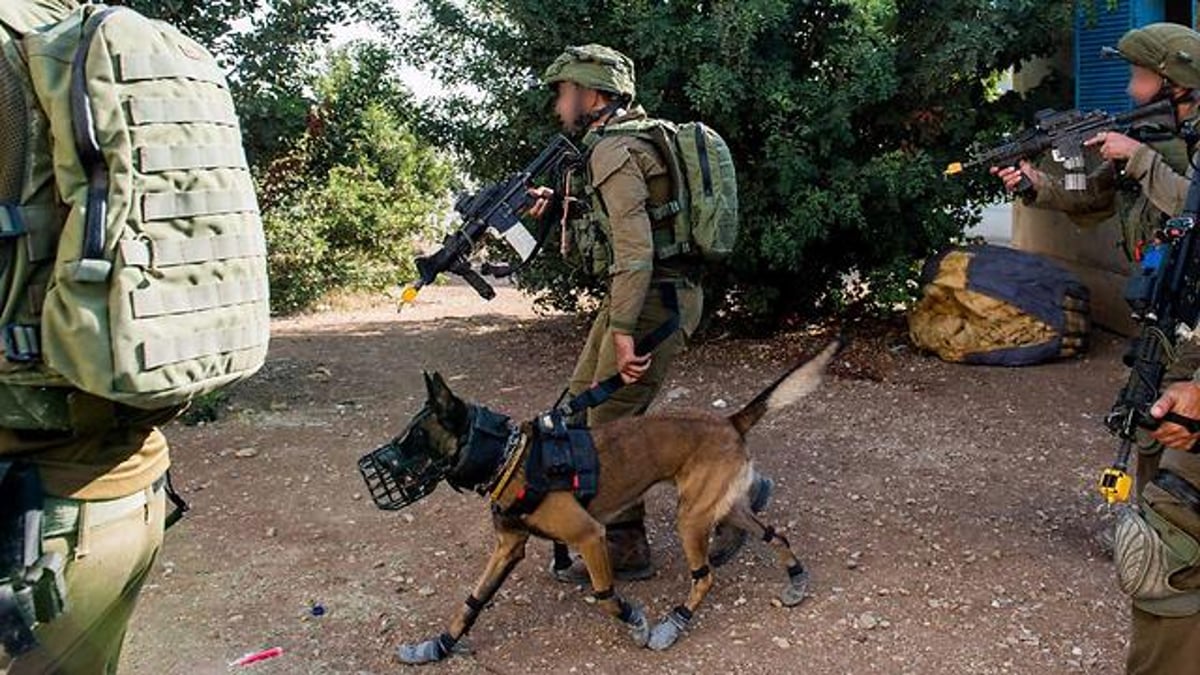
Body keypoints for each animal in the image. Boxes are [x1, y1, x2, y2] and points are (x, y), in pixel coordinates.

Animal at [386, 338, 844, 658]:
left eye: (414, 439)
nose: (381, 465)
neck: (509, 456)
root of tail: (730, 421)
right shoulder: (507, 548)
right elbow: (473, 603)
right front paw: (437, 646)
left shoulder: (589, 536)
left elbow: (606, 596)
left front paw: (637, 622)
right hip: (724, 508)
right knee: (774, 535)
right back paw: (796, 580)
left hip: (690, 518)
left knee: (705, 577)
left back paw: (673, 623)